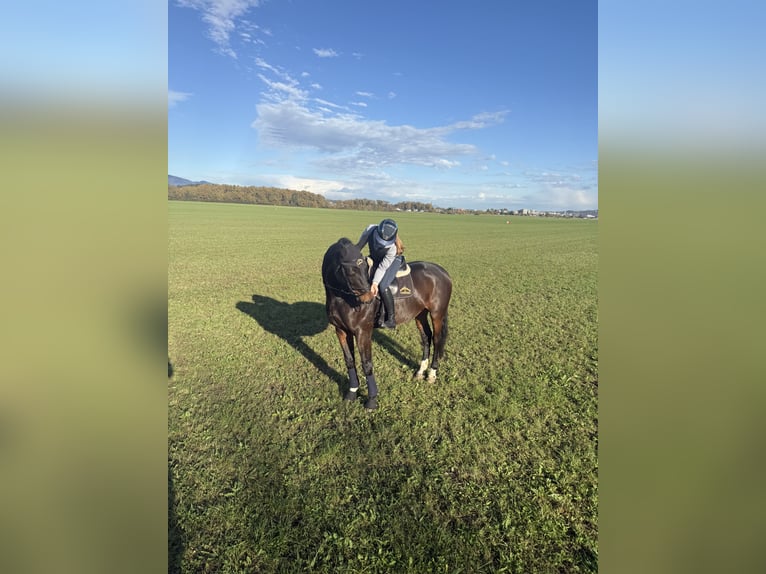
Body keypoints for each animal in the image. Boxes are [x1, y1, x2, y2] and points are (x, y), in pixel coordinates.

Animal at [322, 237, 452, 410]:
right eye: (351, 271)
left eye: (364, 266)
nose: (369, 296)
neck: (342, 298)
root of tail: (442, 271)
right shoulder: (341, 331)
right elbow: (349, 361)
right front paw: (352, 391)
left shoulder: (363, 332)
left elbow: (367, 364)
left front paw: (371, 399)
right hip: (420, 314)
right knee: (426, 338)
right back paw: (420, 371)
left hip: (437, 314)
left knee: (437, 340)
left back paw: (431, 374)